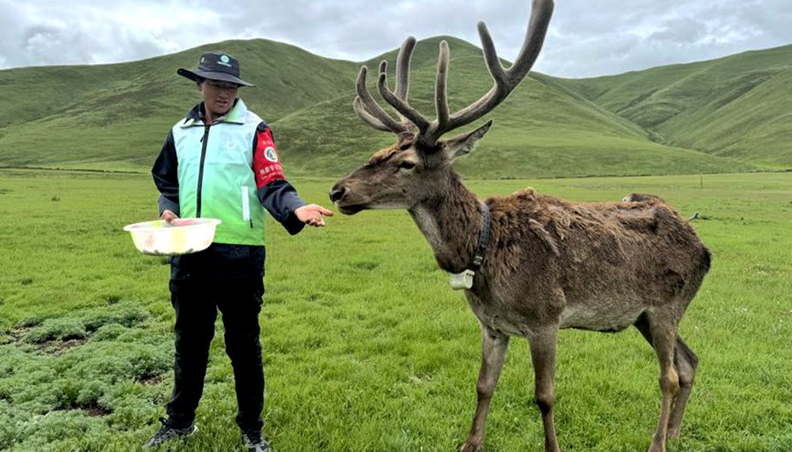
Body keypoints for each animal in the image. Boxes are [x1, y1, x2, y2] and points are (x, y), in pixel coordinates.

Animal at [328, 1, 712, 451]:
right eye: (380, 151)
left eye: (406, 163)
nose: (337, 190)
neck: (482, 252)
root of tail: (704, 249)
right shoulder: (492, 326)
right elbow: (482, 386)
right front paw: (470, 443)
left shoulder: (546, 318)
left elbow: (544, 396)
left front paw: (552, 446)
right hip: (643, 317)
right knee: (689, 362)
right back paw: (675, 432)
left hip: (667, 305)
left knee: (668, 375)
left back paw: (658, 441)